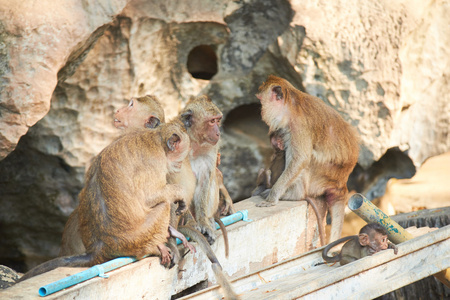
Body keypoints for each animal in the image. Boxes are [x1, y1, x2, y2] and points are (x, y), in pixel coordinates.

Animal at [17, 122, 190, 282]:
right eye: (181, 154)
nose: (180, 164)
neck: (156, 137)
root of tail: (99, 249)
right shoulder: (155, 161)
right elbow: (152, 196)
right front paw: (180, 193)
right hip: (141, 237)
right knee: (165, 204)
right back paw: (157, 246)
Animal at [256, 76, 358, 243]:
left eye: (260, 101)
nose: (261, 111)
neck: (292, 104)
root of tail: (341, 185)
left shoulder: (299, 126)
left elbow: (301, 159)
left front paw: (272, 197)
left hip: (319, 180)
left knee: (307, 159)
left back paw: (294, 195)